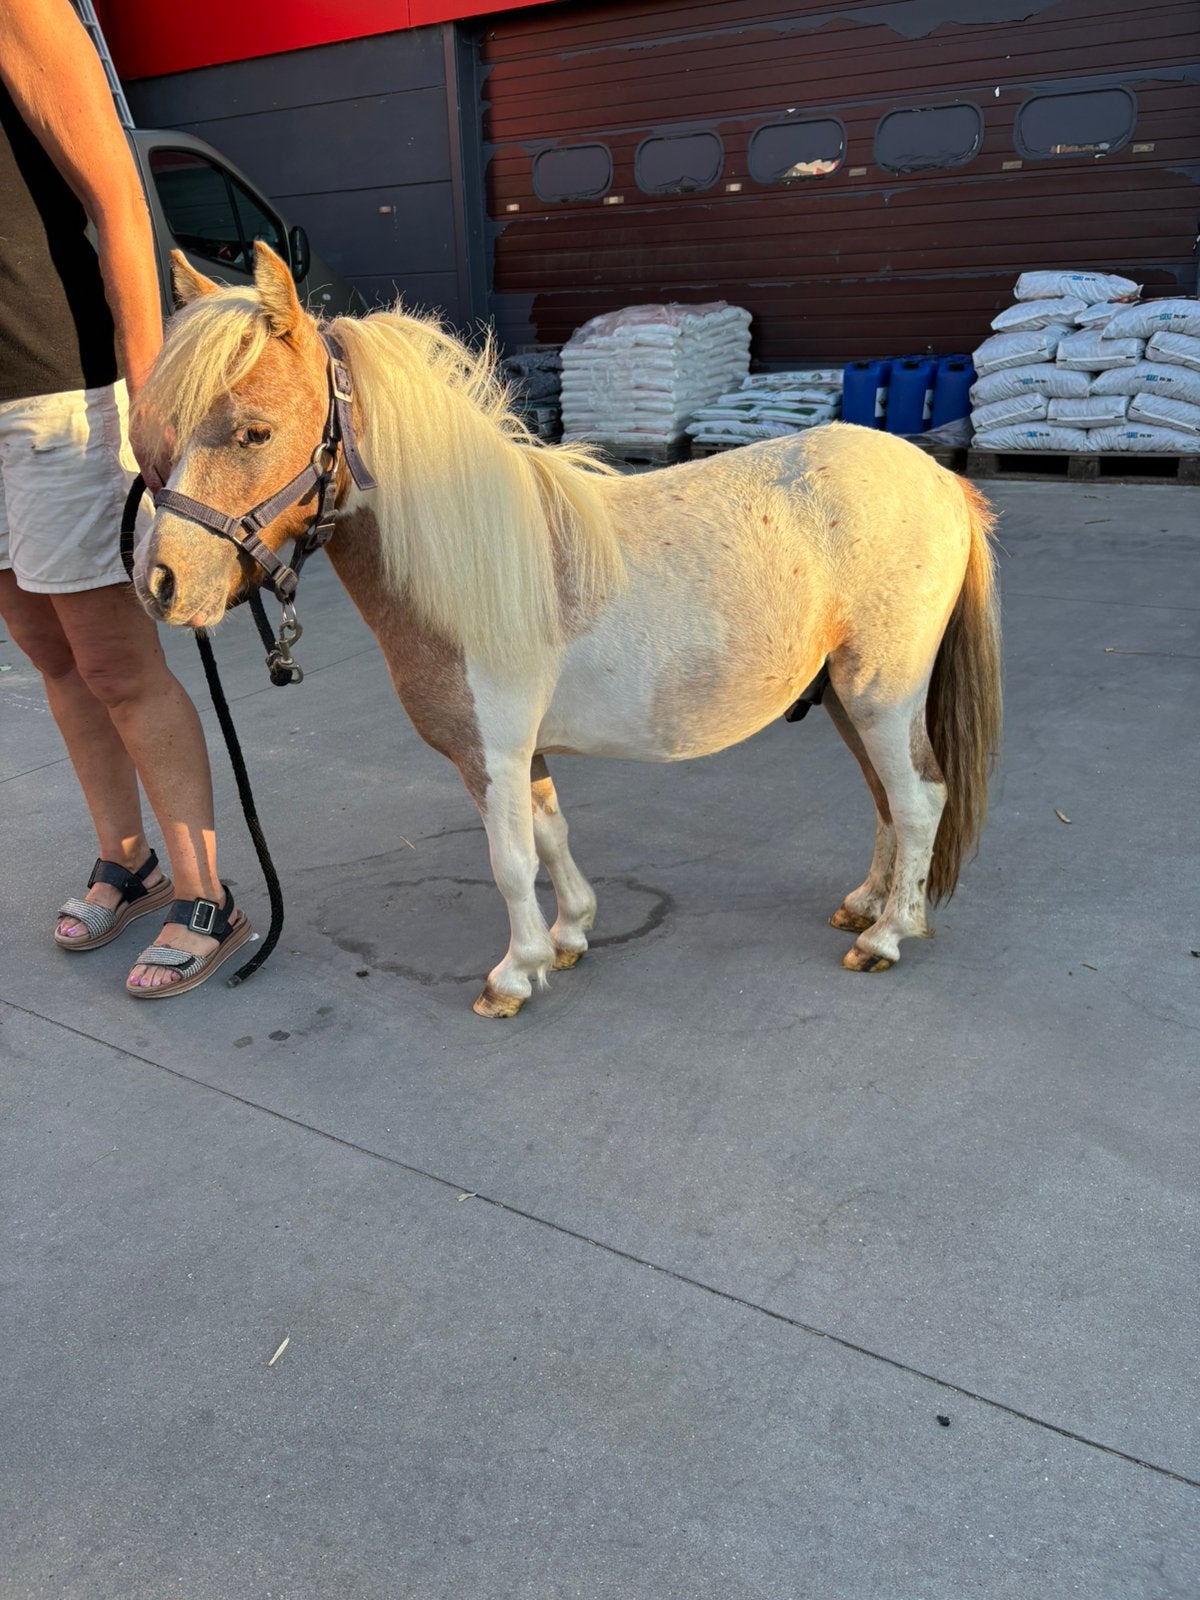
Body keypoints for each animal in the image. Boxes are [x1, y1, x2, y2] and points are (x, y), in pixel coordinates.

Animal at [131, 242, 1001, 1019]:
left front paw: (514, 975)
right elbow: (551, 837)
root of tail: (940, 481)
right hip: (848, 696)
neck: (475, 558)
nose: (160, 584)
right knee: (887, 800)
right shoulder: (527, 752)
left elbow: (511, 860)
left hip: (880, 693)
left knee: (918, 798)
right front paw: (570, 935)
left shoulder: (492, 755)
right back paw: (867, 905)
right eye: (168, 431)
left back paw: (886, 937)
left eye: (253, 431)